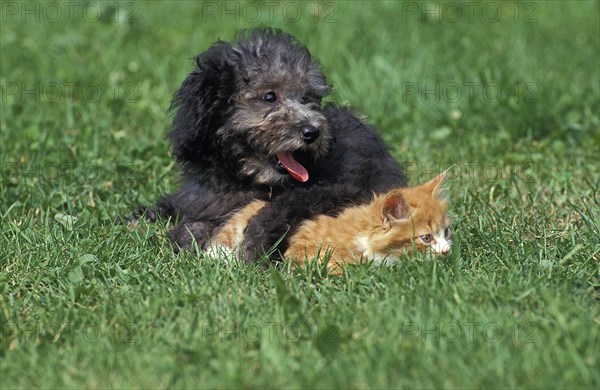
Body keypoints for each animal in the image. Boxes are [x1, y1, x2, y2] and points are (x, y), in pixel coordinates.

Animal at [134, 29, 406, 264]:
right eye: (269, 97)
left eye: (306, 98)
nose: (312, 132)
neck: (244, 180)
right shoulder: (199, 197)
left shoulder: (346, 188)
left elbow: (288, 203)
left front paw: (255, 245)